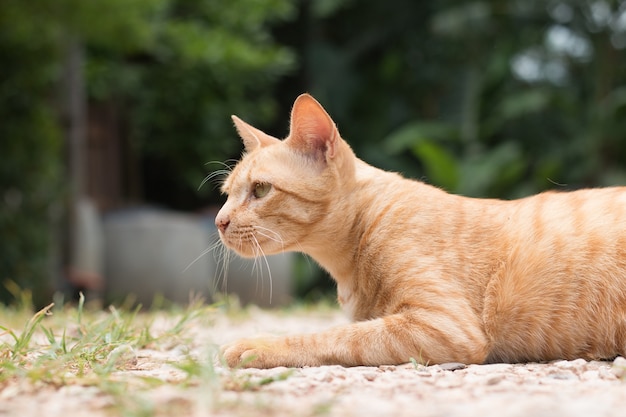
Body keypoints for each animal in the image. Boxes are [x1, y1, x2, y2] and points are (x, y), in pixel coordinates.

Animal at [217, 93, 624, 368]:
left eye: (260, 190)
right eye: (226, 194)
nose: (219, 221)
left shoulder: (444, 325)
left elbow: (338, 335)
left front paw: (261, 346)